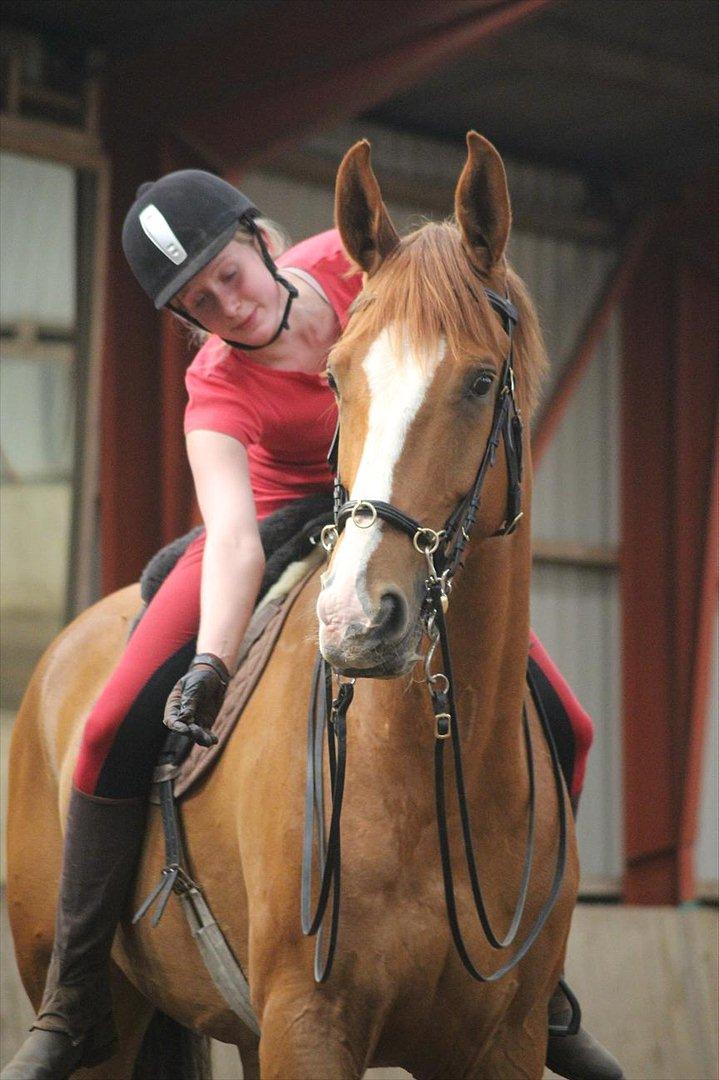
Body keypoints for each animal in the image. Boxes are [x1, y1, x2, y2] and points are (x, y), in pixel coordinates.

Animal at [4, 137, 578, 1080]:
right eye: (336, 379)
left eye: (479, 381)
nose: (356, 622)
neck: (424, 777)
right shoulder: (307, 1025)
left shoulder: (504, 1042)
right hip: (108, 1012)